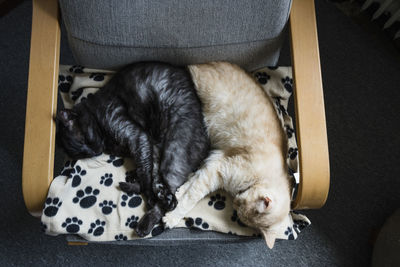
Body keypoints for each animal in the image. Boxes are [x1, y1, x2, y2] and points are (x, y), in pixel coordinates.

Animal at [58, 62, 212, 237]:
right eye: (83, 153)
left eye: (84, 139)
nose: (95, 151)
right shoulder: (146, 144)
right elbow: (147, 172)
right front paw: (145, 187)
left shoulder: (137, 137)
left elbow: (145, 174)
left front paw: (149, 194)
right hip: (159, 148)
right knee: (160, 181)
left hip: (174, 151)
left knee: (171, 197)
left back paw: (148, 220)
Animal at [164, 62, 292, 249]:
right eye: (241, 206)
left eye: (241, 211)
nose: (235, 203)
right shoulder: (217, 169)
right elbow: (191, 197)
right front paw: (172, 216)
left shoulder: (214, 162)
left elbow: (192, 182)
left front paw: (179, 193)